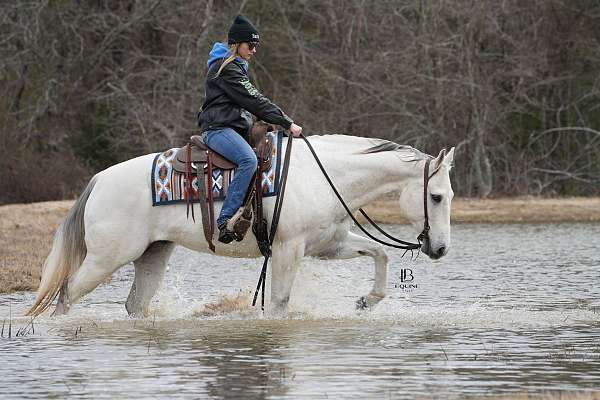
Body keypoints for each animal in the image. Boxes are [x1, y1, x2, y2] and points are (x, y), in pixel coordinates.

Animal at [24, 135, 454, 318]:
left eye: (448, 194)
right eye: (436, 197)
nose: (441, 249)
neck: (322, 174)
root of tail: (99, 180)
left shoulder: (327, 244)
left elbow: (379, 253)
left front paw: (368, 300)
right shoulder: (288, 250)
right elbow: (279, 303)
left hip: (152, 255)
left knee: (135, 305)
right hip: (106, 259)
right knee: (66, 294)